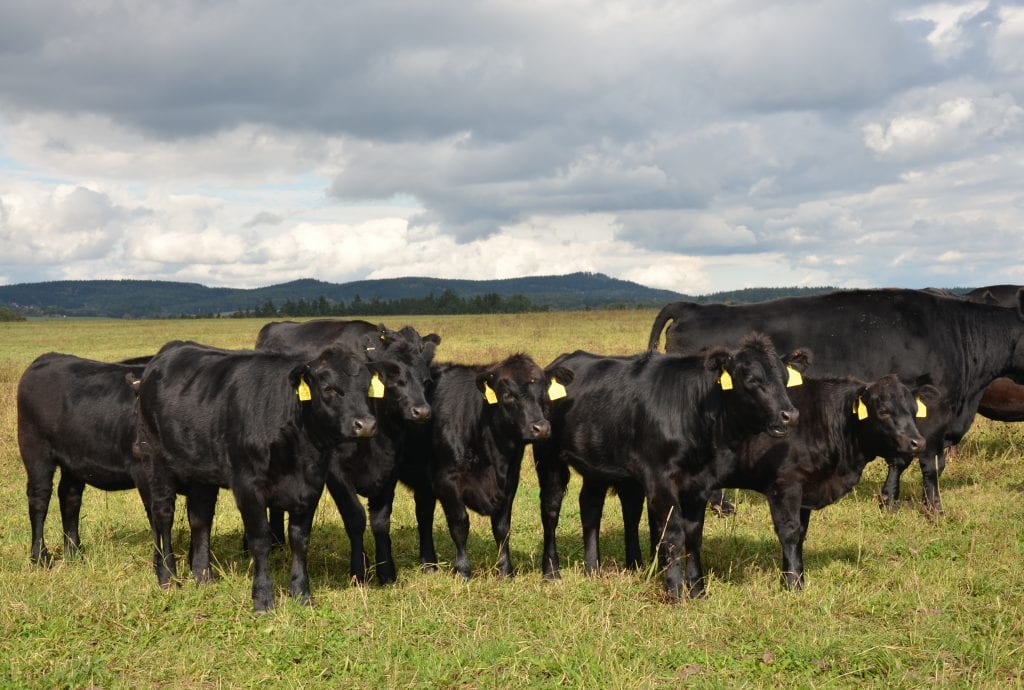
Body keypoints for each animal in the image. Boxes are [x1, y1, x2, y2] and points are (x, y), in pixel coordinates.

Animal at [17, 353, 150, 565]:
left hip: (74, 459)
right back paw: (40, 556)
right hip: (35, 451)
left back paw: (73, 552)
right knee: (39, 497)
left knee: (69, 496)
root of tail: (47, 357)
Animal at [134, 340, 380, 611]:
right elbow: (260, 540)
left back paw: (203, 577)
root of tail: (170, 350)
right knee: (163, 517)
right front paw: (262, 600)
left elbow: (300, 539)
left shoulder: (311, 486)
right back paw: (167, 578)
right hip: (155, 461)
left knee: (200, 519)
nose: (366, 424)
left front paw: (302, 594)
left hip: (201, 474)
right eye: (329, 389)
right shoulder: (248, 487)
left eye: (366, 387)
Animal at [400, 353, 571, 580]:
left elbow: (502, 527)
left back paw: (429, 565)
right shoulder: (446, 480)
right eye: (508, 395)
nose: (541, 428)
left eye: (544, 393)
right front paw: (463, 571)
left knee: (424, 515)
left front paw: (505, 570)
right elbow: (460, 524)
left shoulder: (509, 480)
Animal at [533, 334, 805, 598]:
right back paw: (552, 572)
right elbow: (673, 533)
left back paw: (597, 568)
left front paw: (697, 589)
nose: (790, 415)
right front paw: (674, 590)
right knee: (550, 511)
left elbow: (694, 534)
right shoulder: (661, 480)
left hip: (598, 467)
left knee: (594, 508)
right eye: (752, 379)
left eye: (785, 379)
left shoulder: (701, 484)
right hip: (549, 460)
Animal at [647, 288, 1024, 513]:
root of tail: (694, 307)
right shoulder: (932, 412)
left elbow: (904, 458)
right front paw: (933, 510)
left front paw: (889, 500)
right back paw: (721, 505)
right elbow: (927, 462)